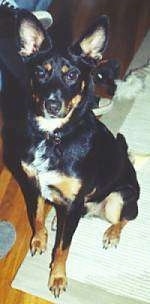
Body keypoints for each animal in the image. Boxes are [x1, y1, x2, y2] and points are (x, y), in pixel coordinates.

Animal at [0, 5, 139, 298]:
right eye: (40, 72)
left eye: (72, 75)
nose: (52, 105)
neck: (54, 136)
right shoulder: (33, 185)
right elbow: (36, 216)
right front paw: (39, 240)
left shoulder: (73, 202)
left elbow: (63, 248)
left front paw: (57, 277)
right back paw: (57, 221)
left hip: (119, 198)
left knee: (127, 217)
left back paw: (112, 234)